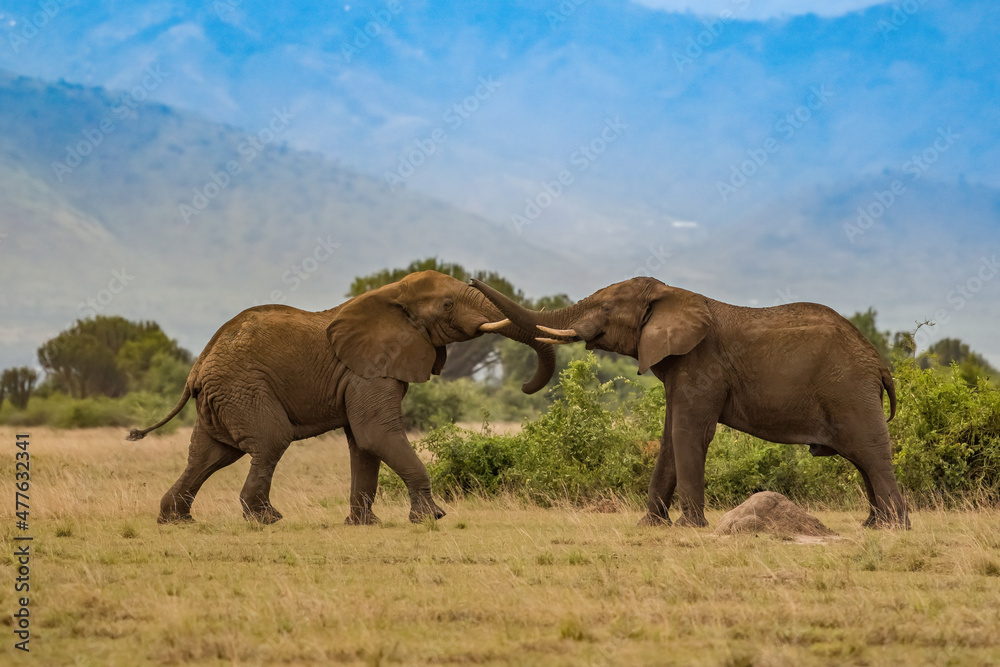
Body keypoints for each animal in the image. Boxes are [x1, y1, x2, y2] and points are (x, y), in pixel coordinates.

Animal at [128, 271, 553, 525]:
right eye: (448, 304)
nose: (524, 386)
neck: (390, 294)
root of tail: (197, 367)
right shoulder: (369, 370)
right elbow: (376, 434)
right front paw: (432, 517)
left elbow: (363, 444)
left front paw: (365, 525)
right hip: (243, 388)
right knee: (269, 441)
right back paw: (267, 519)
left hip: (223, 397)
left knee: (210, 454)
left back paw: (175, 519)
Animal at [471, 276, 909, 529]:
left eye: (607, 308)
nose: (473, 280)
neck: (672, 294)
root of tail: (879, 364)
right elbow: (669, 438)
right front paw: (650, 526)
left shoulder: (702, 363)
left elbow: (690, 434)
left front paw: (690, 527)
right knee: (862, 461)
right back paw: (872, 526)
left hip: (849, 390)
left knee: (871, 454)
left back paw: (894, 528)